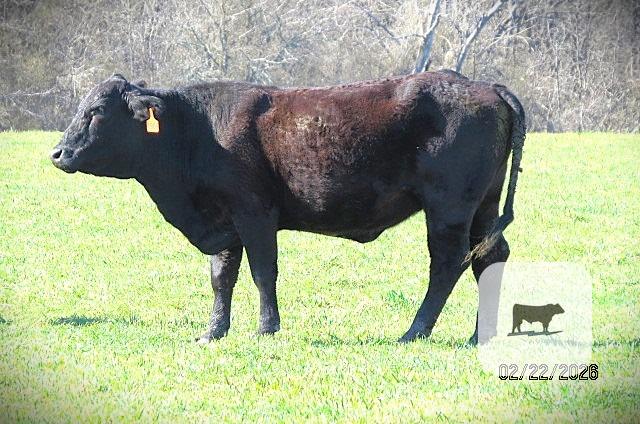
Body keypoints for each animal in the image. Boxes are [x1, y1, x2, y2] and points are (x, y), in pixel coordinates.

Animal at [50, 71, 526, 344]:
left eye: (96, 111)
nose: (57, 153)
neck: (196, 130)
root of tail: (486, 86)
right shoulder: (224, 223)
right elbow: (221, 278)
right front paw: (213, 332)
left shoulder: (254, 214)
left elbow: (263, 272)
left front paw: (266, 328)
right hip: (483, 207)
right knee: (489, 258)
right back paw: (479, 336)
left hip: (449, 209)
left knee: (447, 264)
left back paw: (414, 332)